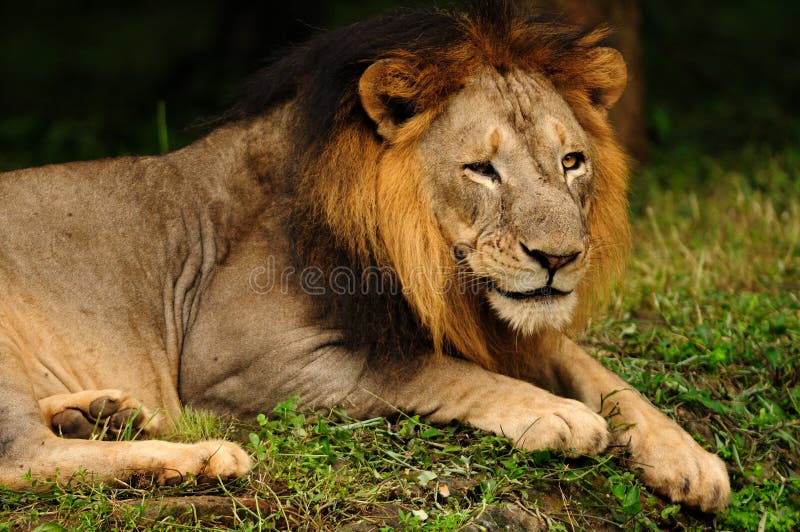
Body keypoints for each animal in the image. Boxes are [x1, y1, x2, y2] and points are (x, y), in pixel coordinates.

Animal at [0, 2, 732, 512]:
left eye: (572, 161)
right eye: (482, 169)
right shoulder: (236, 367)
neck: (432, 265)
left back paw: (100, 413)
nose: (559, 257)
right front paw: (556, 414)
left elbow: (596, 370)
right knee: (23, 458)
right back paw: (201, 458)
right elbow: (424, 371)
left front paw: (690, 458)